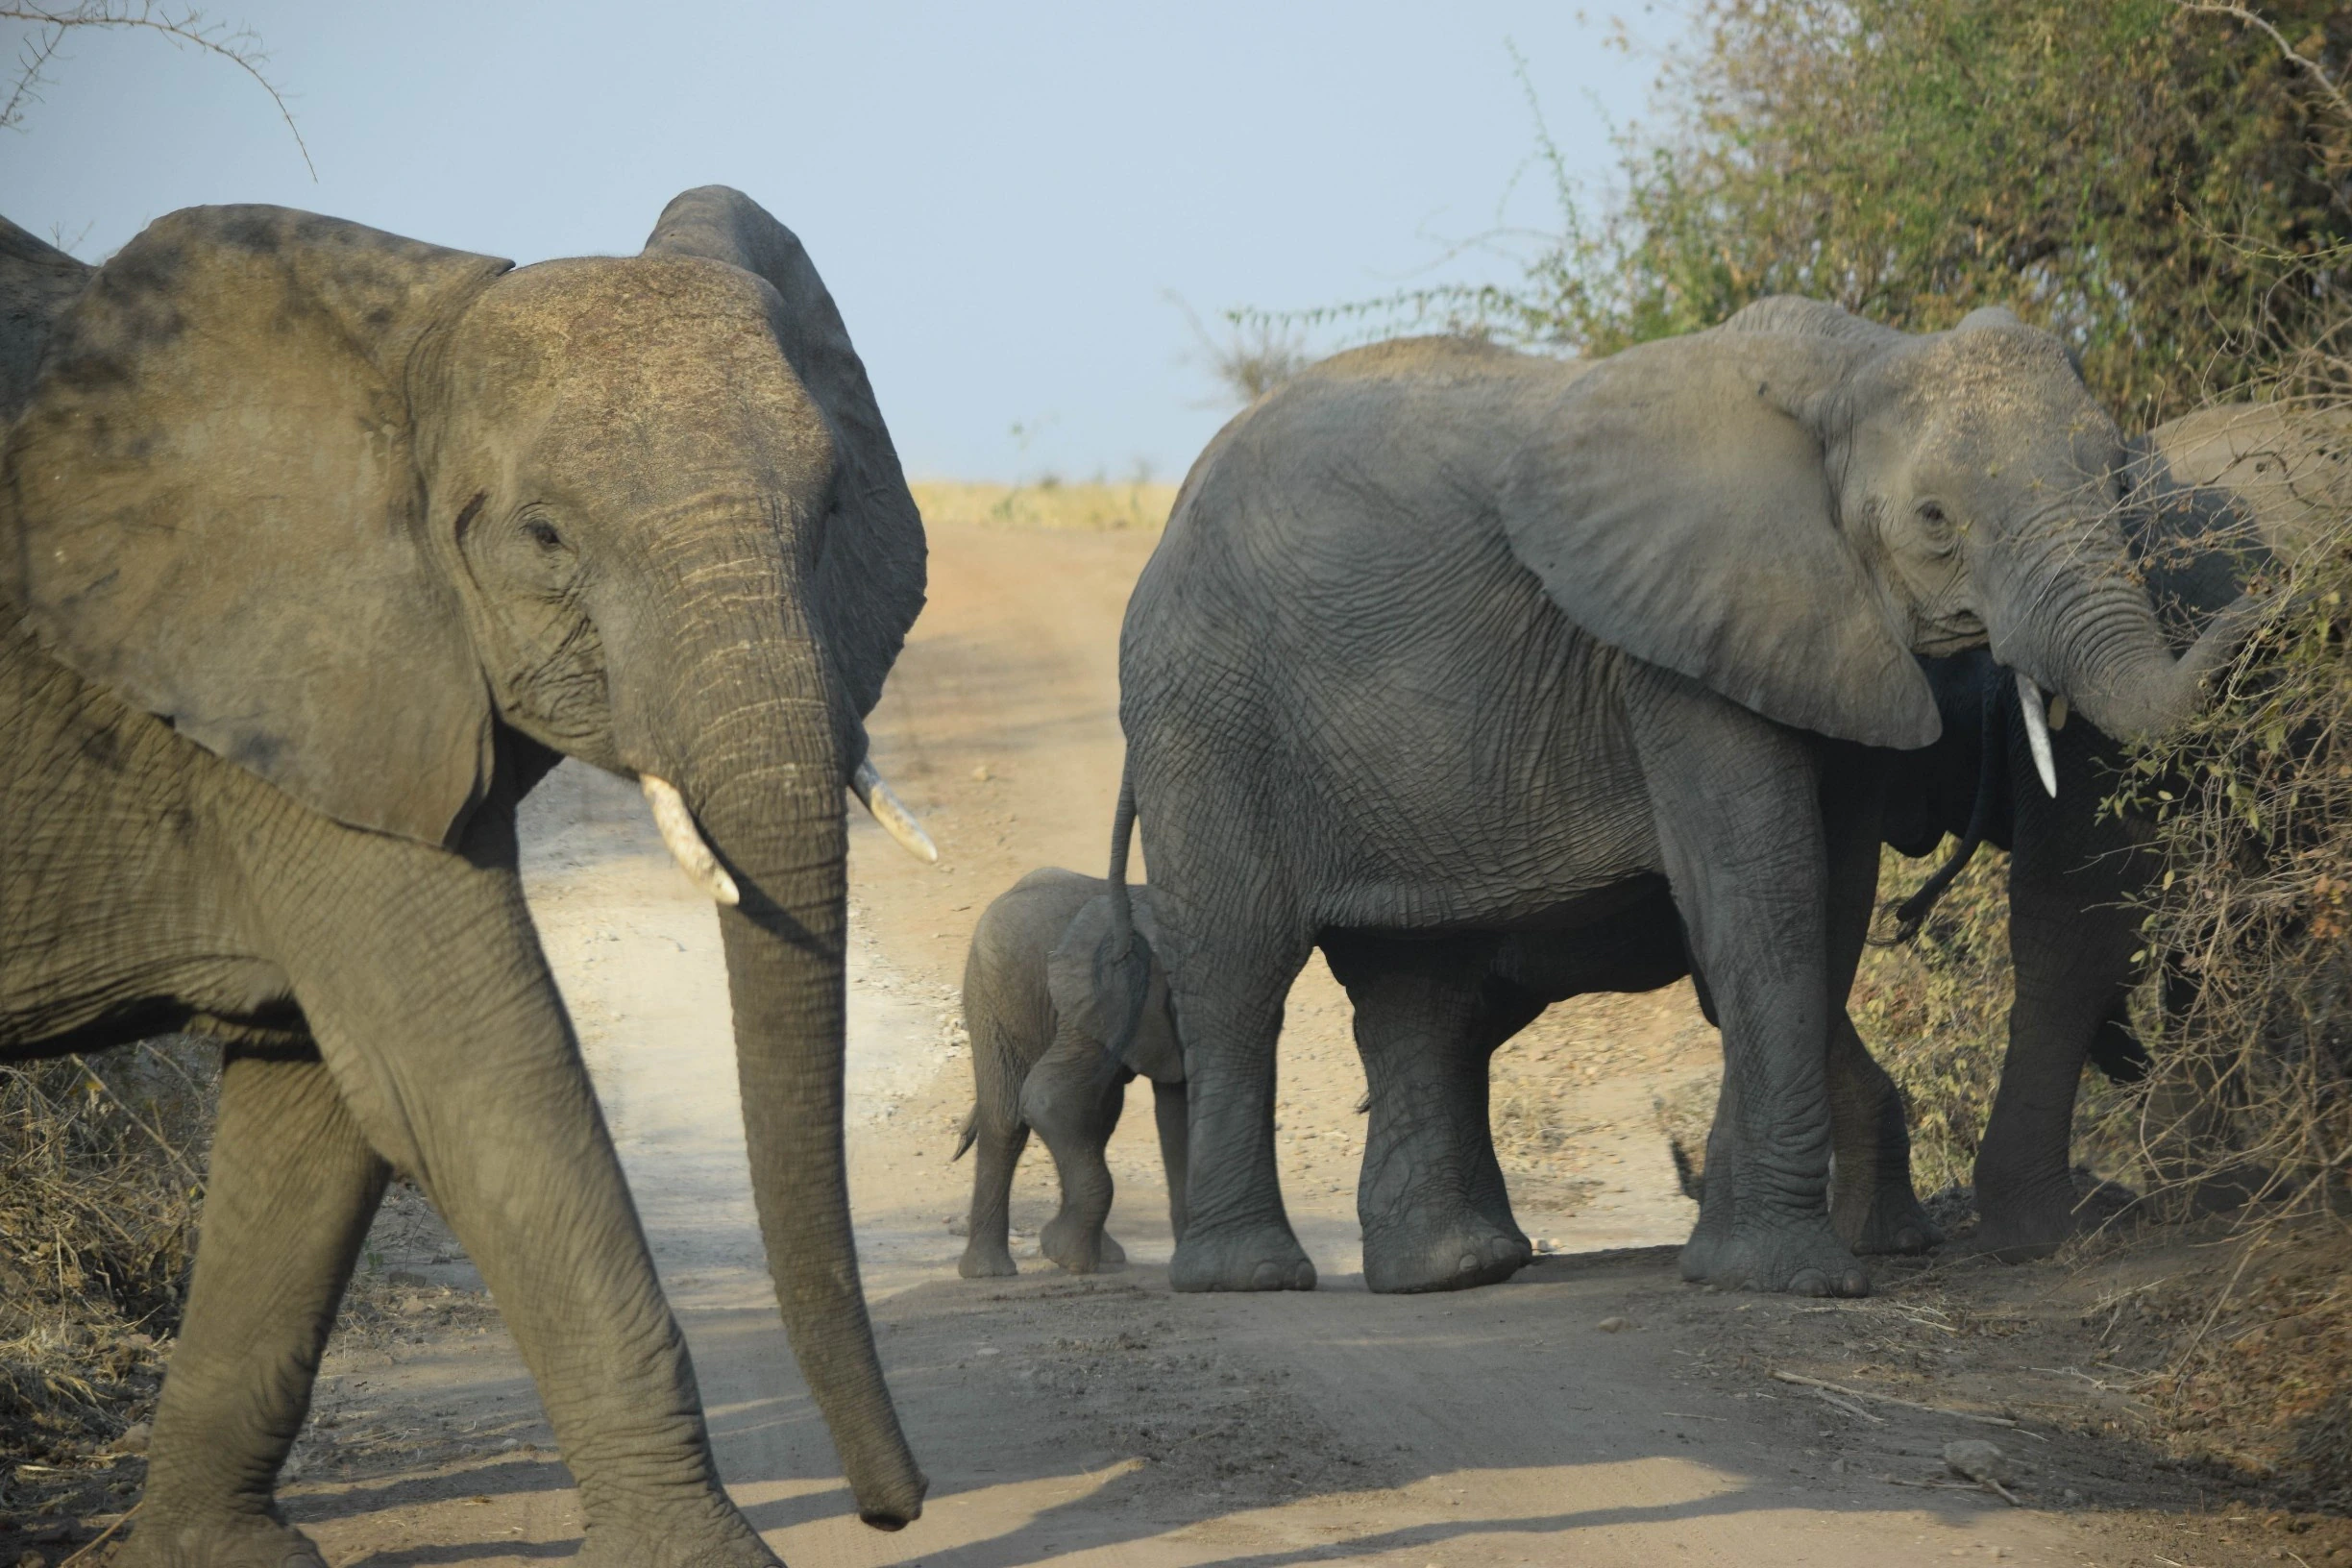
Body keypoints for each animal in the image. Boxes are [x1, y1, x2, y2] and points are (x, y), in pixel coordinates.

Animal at [0, 192, 936, 1568]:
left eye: (829, 513)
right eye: (544, 536)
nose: (894, 1508)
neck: (407, 354)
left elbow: (326, 1104)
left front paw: (211, 1557)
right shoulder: (289, 680)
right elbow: (471, 1081)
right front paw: (706, 1558)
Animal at [949, 865, 1185, 1279]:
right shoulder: (1112, 986)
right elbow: (1050, 1100)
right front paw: (1064, 1256)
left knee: (1096, 1117)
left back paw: (1104, 1255)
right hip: (990, 991)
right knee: (1007, 1118)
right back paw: (991, 1272)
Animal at [1119, 297, 2258, 1297]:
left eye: (2118, 478)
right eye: (1936, 521)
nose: (2254, 607)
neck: (1854, 362)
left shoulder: (1823, 633)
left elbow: (1828, 902)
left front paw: (1740, 1261)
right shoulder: (1680, 646)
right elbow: (1764, 891)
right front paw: (1799, 1280)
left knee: (1416, 986)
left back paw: (1454, 1273)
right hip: (1205, 713)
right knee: (1239, 968)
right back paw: (1250, 1279)